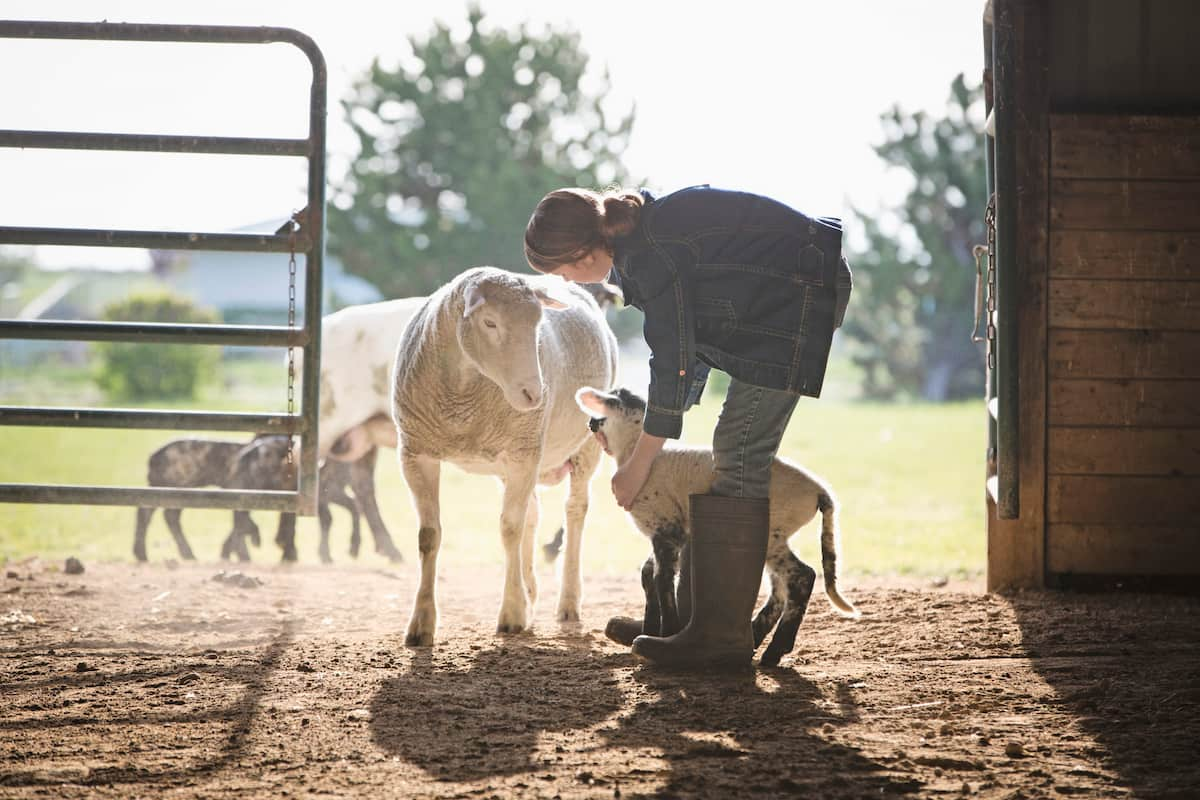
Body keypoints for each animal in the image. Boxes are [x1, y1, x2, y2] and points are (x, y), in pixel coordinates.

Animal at [393, 267, 619, 642]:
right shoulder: (416, 453)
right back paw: (531, 592)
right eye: (490, 322)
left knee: (575, 511)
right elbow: (429, 535)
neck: (463, 393)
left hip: (582, 444)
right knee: (533, 512)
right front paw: (421, 623)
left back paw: (568, 601)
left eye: (538, 323)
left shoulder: (522, 452)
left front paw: (512, 613)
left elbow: (509, 529)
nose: (534, 394)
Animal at [576, 388, 859, 671]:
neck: (636, 452)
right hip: (778, 533)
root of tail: (820, 491)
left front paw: (665, 633)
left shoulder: (666, 526)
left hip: (774, 530)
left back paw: (774, 650)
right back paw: (757, 639)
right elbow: (648, 575)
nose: (589, 423)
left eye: (604, 409)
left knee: (803, 576)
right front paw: (649, 628)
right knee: (780, 588)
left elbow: (661, 579)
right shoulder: (673, 531)